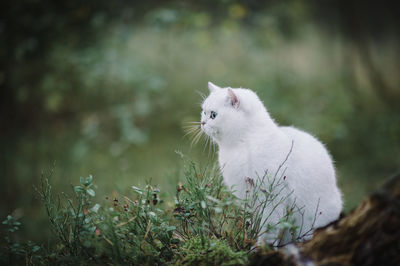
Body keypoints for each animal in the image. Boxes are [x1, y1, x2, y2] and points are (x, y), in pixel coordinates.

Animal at [202, 82, 342, 246]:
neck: (241, 144)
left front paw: (261, 248)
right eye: (203, 112)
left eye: (213, 115)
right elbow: (252, 223)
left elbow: (268, 229)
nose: (202, 123)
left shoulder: (272, 197)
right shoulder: (246, 199)